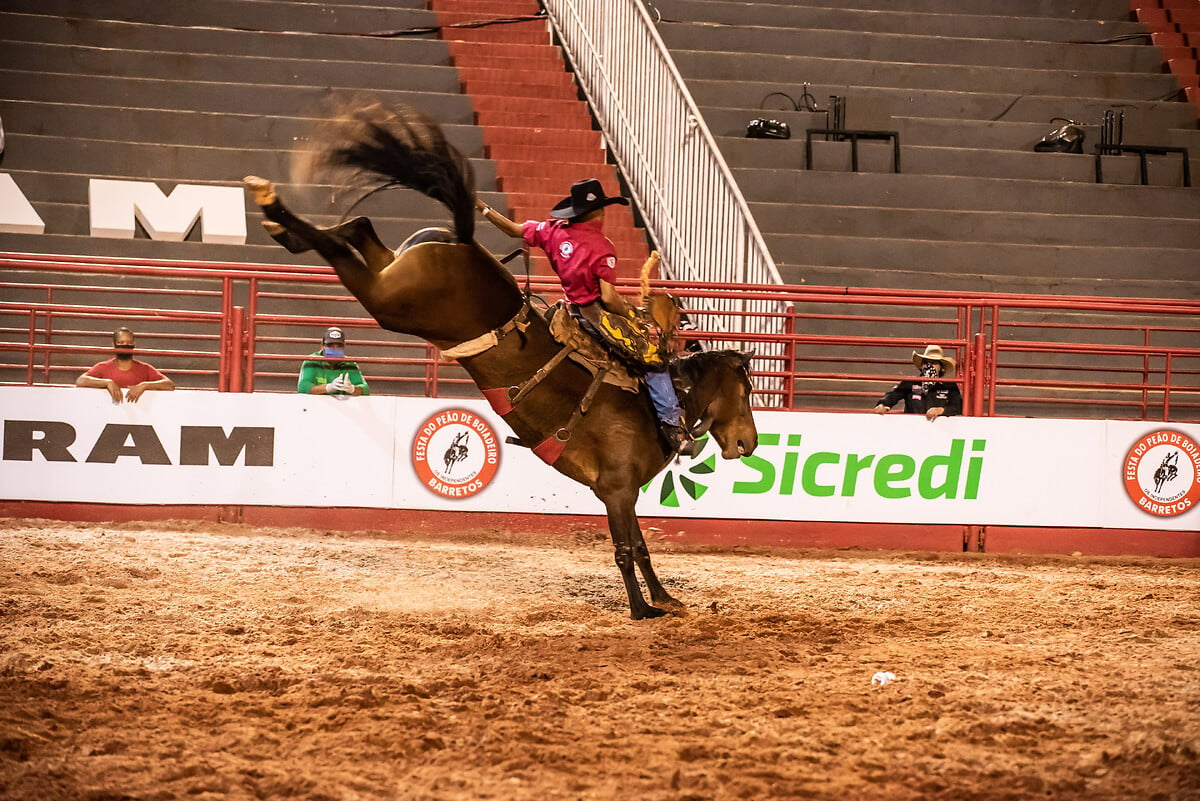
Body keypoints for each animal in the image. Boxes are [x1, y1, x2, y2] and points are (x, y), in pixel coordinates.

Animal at [243, 103, 758, 618]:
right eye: (748, 389)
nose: (749, 442)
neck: (659, 404)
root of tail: (463, 243)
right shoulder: (617, 489)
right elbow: (625, 550)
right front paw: (641, 608)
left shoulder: (623, 492)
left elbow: (642, 547)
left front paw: (665, 599)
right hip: (392, 302)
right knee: (341, 248)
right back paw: (272, 207)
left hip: (393, 273)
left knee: (360, 227)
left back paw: (283, 226)